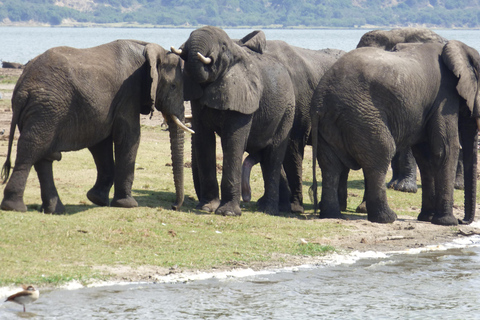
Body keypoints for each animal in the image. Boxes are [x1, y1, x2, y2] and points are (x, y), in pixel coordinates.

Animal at [1, 40, 189, 215]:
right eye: (173, 86)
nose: (174, 206)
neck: (149, 49)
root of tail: (21, 88)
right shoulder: (129, 92)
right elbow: (129, 136)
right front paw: (127, 204)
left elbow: (101, 143)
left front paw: (97, 199)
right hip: (46, 109)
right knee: (31, 149)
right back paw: (15, 207)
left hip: (44, 111)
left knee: (44, 156)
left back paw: (56, 210)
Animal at [172, 26, 296, 216]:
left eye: (223, 46)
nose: (174, 207)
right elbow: (203, 139)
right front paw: (207, 207)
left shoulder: (244, 97)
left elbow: (232, 142)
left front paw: (227, 212)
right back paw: (278, 207)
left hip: (287, 113)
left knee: (273, 157)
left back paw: (268, 209)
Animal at [310, 39, 478, 225]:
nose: (463, 221)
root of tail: (320, 100)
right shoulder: (445, 97)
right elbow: (446, 149)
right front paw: (447, 222)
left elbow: (426, 156)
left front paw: (427, 218)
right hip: (362, 116)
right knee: (381, 154)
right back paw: (387, 218)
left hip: (329, 124)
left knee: (331, 165)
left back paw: (331, 215)